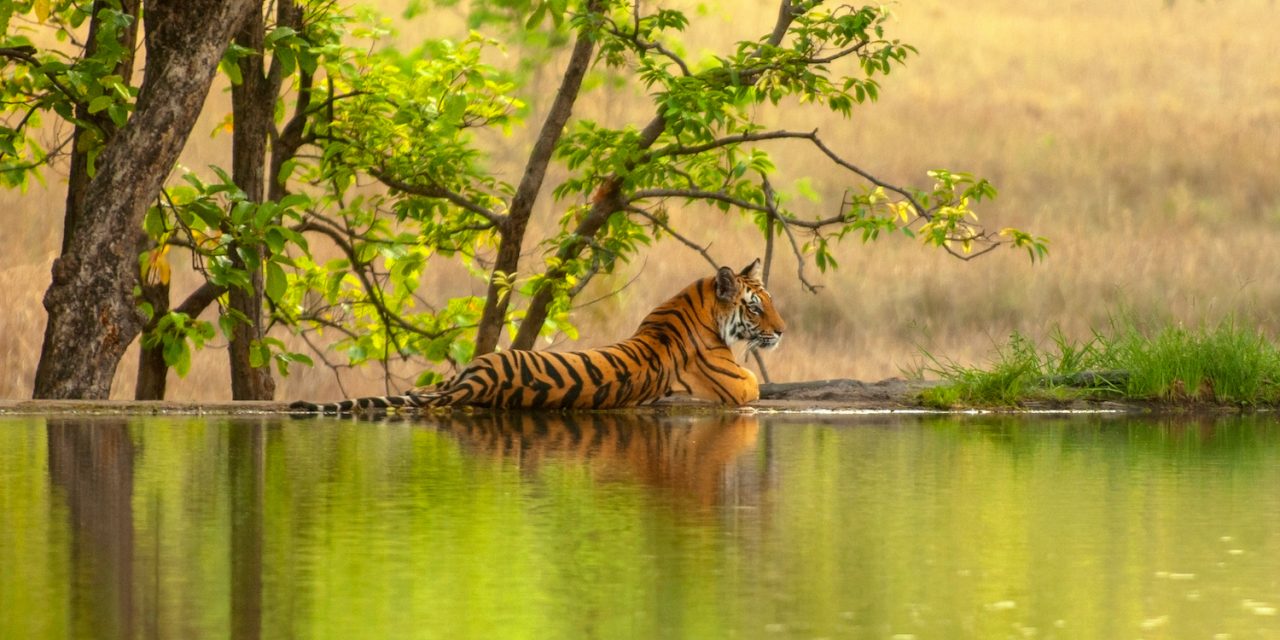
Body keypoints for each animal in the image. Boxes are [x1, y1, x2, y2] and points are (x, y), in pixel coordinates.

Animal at [289, 259, 785, 413]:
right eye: (755, 307)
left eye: (770, 301)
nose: (781, 331)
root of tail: (478, 382)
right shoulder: (740, 384)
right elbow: (757, 384)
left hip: (462, 372)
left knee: (420, 391)